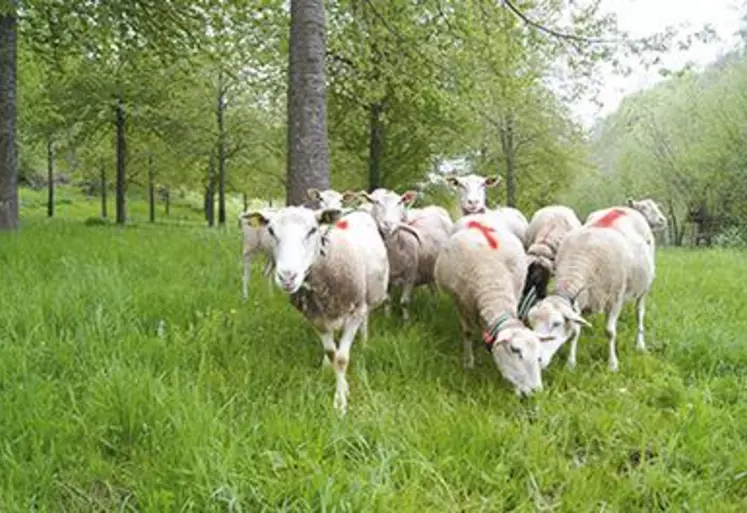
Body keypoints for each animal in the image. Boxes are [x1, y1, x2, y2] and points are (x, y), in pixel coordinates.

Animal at [244, 204, 392, 412]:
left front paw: (340, 402)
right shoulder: (315, 317)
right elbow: (332, 353)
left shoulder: (355, 311)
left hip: (367, 298)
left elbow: (342, 358)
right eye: (271, 230)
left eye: (313, 230)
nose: (287, 277)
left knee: (365, 319)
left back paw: (364, 342)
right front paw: (338, 381)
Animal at [360, 188, 452, 320]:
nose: (388, 224)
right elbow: (387, 301)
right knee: (432, 286)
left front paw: (406, 321)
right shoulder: (386, 279)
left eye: (400, 202)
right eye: (375, 202)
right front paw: (387, 318)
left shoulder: (410, 276)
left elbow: (404, 302)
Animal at [432, 210, 544, 394]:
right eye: (515, 350)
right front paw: (468, 362)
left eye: (538, 354)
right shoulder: (460, 301)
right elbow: (467, 332)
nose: (536, 392)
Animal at [524, 217, 656, 372]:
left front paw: (613, 364)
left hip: (644, 288)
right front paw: (571, 364)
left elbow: (610, 332)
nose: (535, 360)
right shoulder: (579, 302)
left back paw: (640, 345)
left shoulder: (615, 300)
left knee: (639, 313)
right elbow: (575, 332)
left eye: (556, 324)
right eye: (531, 324)